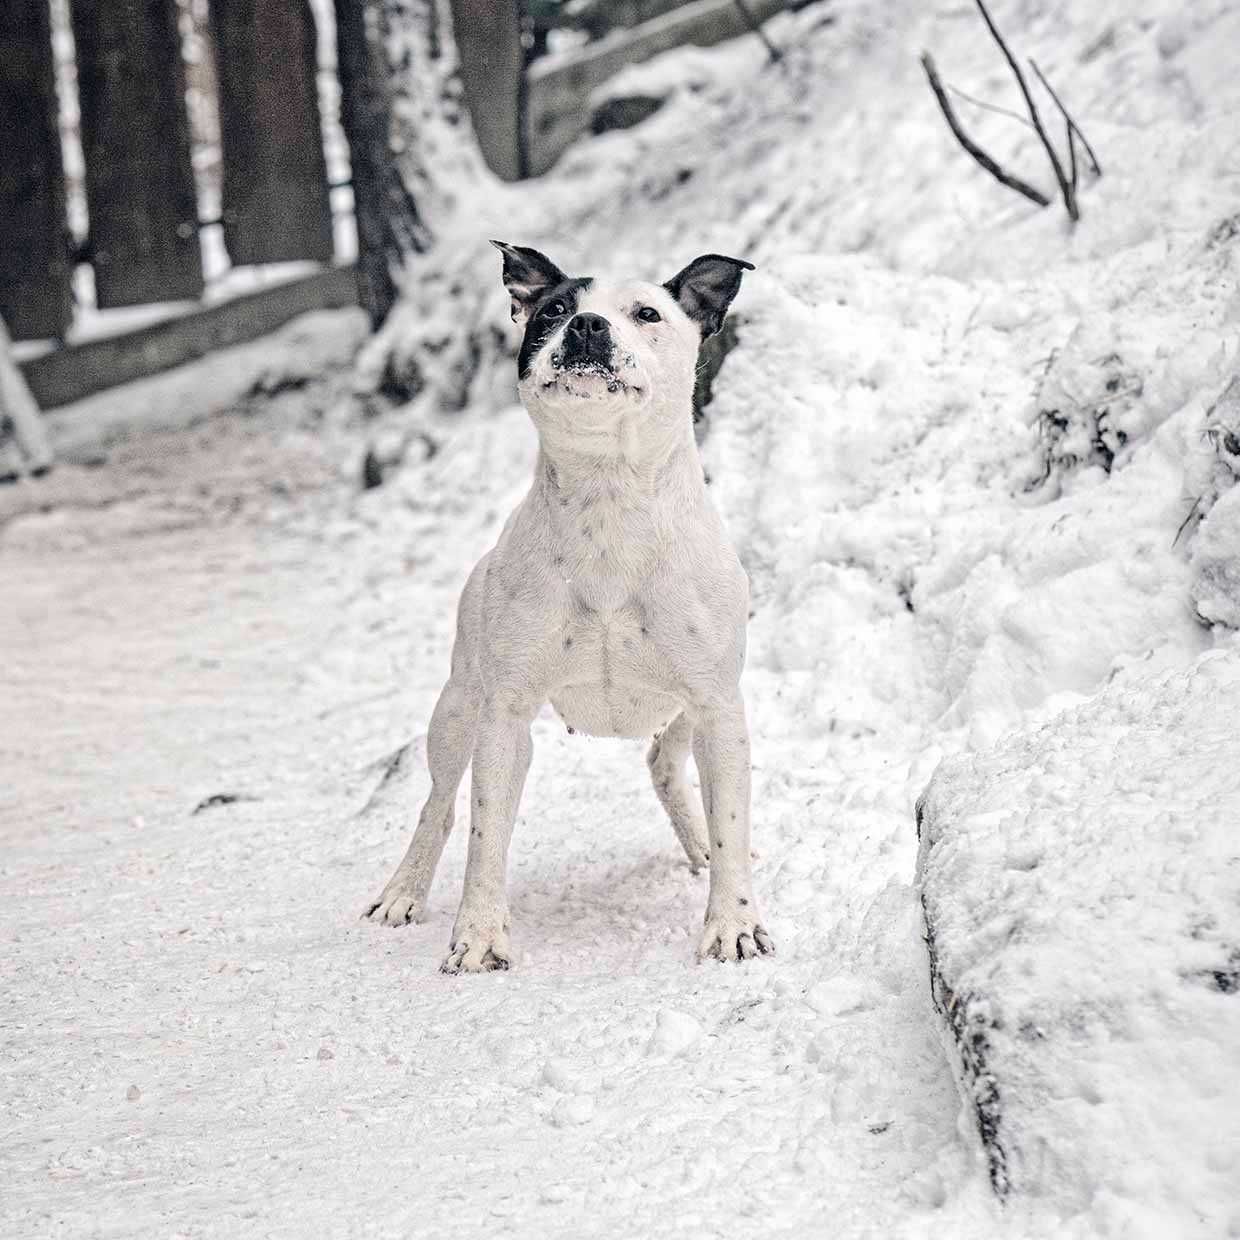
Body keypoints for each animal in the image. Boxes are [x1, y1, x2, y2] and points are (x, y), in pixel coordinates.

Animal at [364, 241, 773, 972]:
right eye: (553, 309)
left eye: (647, 313)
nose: (585, 325)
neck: (608, 497)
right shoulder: (504, 717)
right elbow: (484, 835)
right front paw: (477, 936)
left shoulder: (718, 706)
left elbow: (730, 816)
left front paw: (734, 924)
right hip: (458, 707)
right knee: (439, 803)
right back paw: (403, 891)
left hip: (687, 712)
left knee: (665, 766)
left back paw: (699, 848)